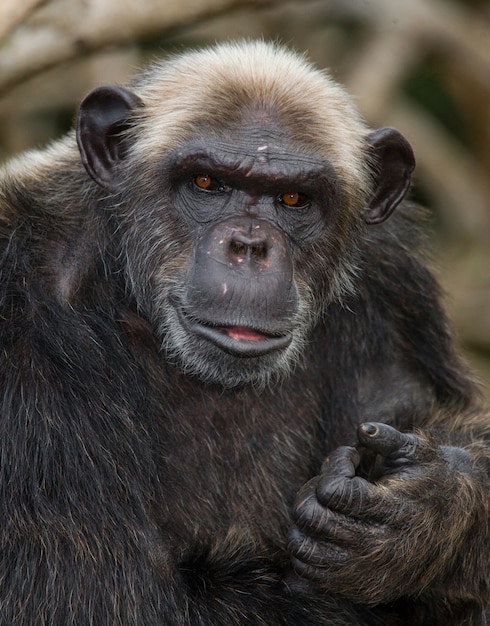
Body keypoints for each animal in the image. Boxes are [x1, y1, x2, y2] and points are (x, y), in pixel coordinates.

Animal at [0, 40, 488, 624]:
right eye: (207, 183)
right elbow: (100, 593)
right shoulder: (18, 320)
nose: (250, 246)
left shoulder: (394, 279)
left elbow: (441, 412)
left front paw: (432, 507)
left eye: (294, 199)